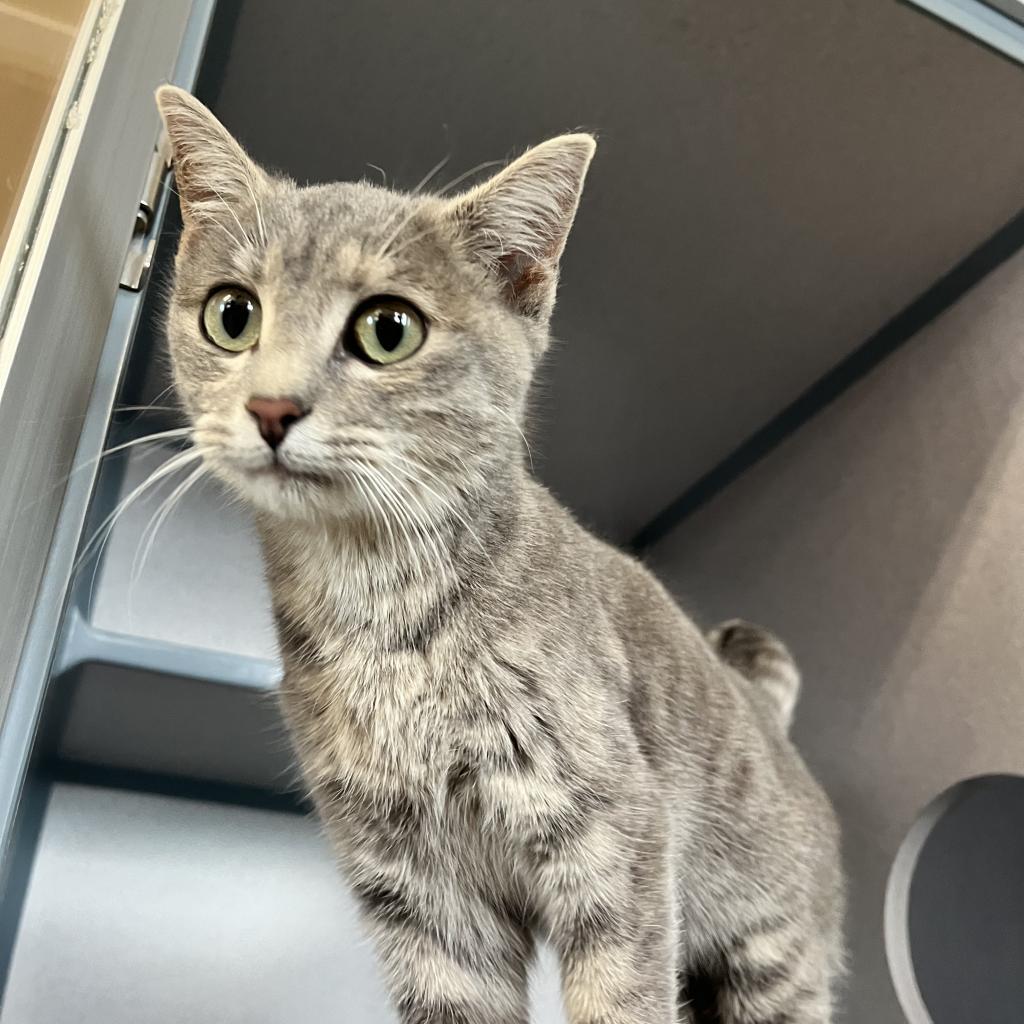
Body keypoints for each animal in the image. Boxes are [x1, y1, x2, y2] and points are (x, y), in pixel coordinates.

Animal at [155, 88, 843, 1024]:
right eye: (232, 314)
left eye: (388, 330)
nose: (270, 407)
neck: (384, 613)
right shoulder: (423, 897)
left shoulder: (617, 842)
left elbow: (620, 1001)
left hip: (771, 964)